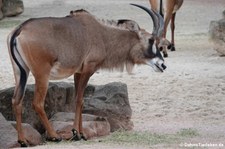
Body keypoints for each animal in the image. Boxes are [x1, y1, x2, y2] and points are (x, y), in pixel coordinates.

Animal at [7, 3, 165, 147]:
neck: (102, 34)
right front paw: (76, 133)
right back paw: (54, 136)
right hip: (42, 75)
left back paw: (22, 141)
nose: (162, 65)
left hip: (20, 72)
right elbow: (79, 100)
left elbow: (80, 100)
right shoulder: (89, 69)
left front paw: (81, 133)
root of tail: (20, 29)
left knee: (16, 100)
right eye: (151, 40)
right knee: (37, 103)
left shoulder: (78, 72)